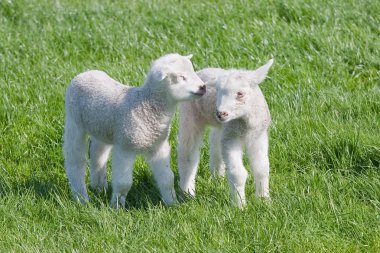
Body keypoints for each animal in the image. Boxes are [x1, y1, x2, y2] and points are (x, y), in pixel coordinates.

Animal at [63, 53, 205, 208]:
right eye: (181, 77)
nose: (203, 87)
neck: (146, 105)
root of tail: (86, 73)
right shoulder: (125, 147)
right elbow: (123, 183)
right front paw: (116, 207)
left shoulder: (157, 146)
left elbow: (168, 178)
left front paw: (172, 204)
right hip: (74, 121)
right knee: (75, 160)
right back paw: (81, 198)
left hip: (103, 128)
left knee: (97, 154)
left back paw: (99, 187)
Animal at [177, 58, 274, 208]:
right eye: (218, 91)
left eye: (240, 93)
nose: (221, 113)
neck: (245, 124)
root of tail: (201, 71)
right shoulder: (231, 139)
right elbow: (238, 173)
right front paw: (240, 206)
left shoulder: (258, 136)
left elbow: (262, 169)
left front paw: (264, 200)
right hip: (189, 114)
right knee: (187, 153)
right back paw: (188, 193)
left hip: (221, 127)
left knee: (215, 142)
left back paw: (217, 177)